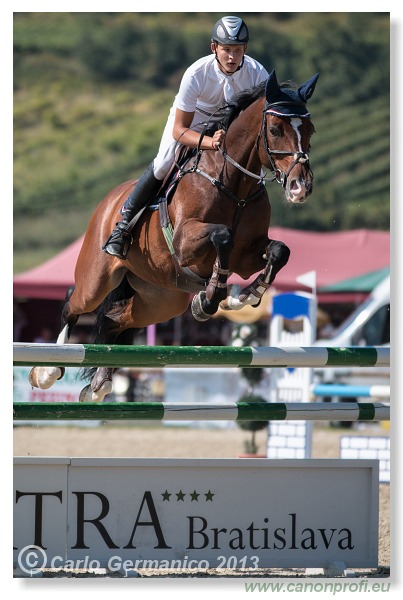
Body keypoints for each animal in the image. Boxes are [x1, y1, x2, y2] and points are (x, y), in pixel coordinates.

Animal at [27, 69, 318, 404]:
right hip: (97, 280)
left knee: (114, 318)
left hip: (161, 299)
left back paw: (99, 385)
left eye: (310, 129)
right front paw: (212, 297)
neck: (235, 186)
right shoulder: (185, 243)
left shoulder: (248, 255)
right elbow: (223, 236)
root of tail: (108, 202)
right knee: (72, 305)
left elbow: (279, 251)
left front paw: (246, 295)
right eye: (274, 129)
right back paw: (47, 372)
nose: (300, 187)